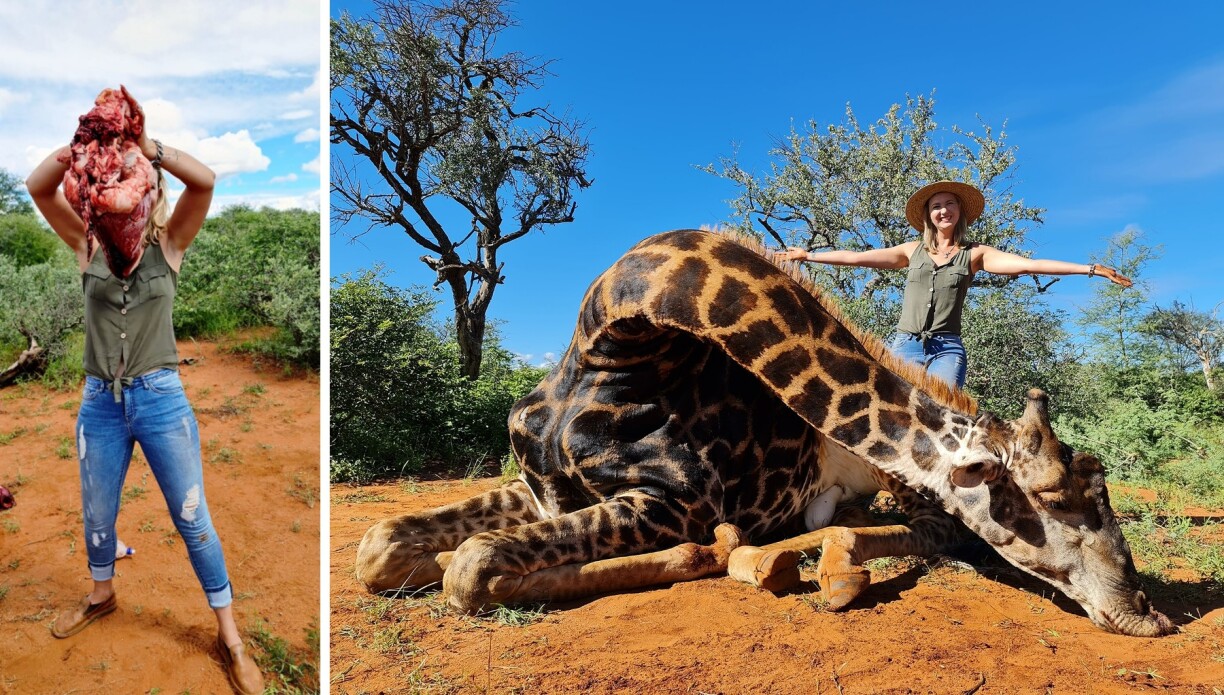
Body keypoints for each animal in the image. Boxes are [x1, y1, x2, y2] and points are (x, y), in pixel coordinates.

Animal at [356, 229, 1174, 638]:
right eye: (1057, 501)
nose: (1148, 614)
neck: (610, 346)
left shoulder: (670, 504)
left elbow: (470, 567)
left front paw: (710, 554)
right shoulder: (539, 487)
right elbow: (382, 546)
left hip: (894, 487)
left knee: (934, 531)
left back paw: (804, 563)